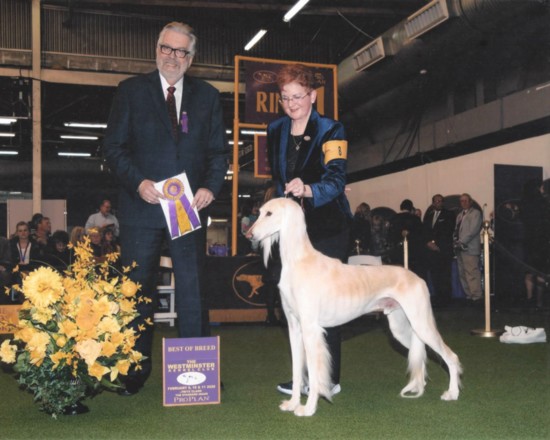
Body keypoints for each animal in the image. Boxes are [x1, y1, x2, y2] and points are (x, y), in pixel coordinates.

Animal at [248, 198, 464, 418]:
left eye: (269, 213)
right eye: (259, 212)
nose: (249, 235)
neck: (299, 261)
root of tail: (418, 278)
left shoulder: (310, 329)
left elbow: (315, 373)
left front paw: (308, 408)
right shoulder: (294, 327)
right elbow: (297, 370)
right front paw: (292, 403)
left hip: (422, 324)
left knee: (451, 356)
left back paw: (452, 393)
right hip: (402, 328)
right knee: (421, 355)